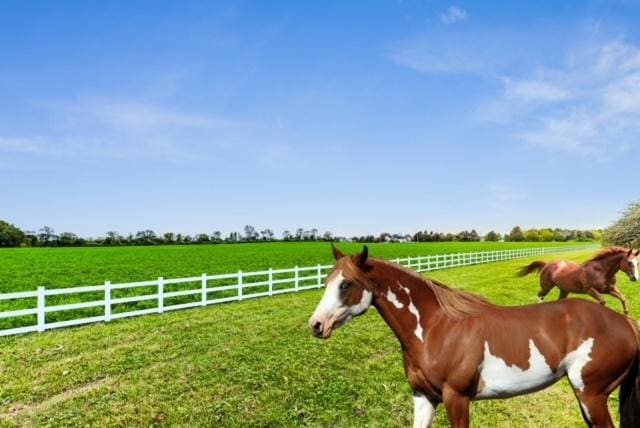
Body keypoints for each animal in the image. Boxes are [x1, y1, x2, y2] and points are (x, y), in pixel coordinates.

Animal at [308, 246, 640, 426]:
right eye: (326, 281)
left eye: (346, 284)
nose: (316, 325)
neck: (436, 328)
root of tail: (627, 324)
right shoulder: (424, 396)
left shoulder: (457, 399)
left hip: (591, 395)